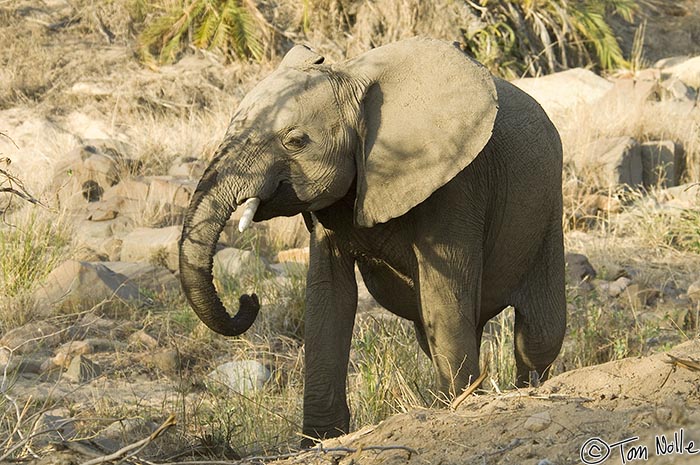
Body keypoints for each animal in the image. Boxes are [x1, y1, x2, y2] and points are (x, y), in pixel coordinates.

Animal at [178, 38, 568, 444]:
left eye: (295, 141)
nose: (248, 299)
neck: (351, 77)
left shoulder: (457, 184)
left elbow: (442, 295)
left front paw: (456, 410)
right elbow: (329, 295)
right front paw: (319, 441)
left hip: (547, 213)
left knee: (538, 335)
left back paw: (528, 391)